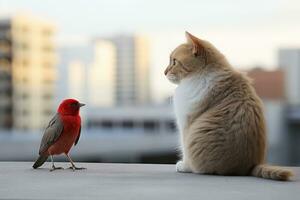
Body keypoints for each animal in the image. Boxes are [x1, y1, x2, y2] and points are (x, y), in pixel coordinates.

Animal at [164, 31, 292, 181]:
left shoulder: (186, 124)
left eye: (174, 62)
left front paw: (184, 166)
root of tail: (249, 167)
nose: (164, 72)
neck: (201, 74)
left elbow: (185, 150)